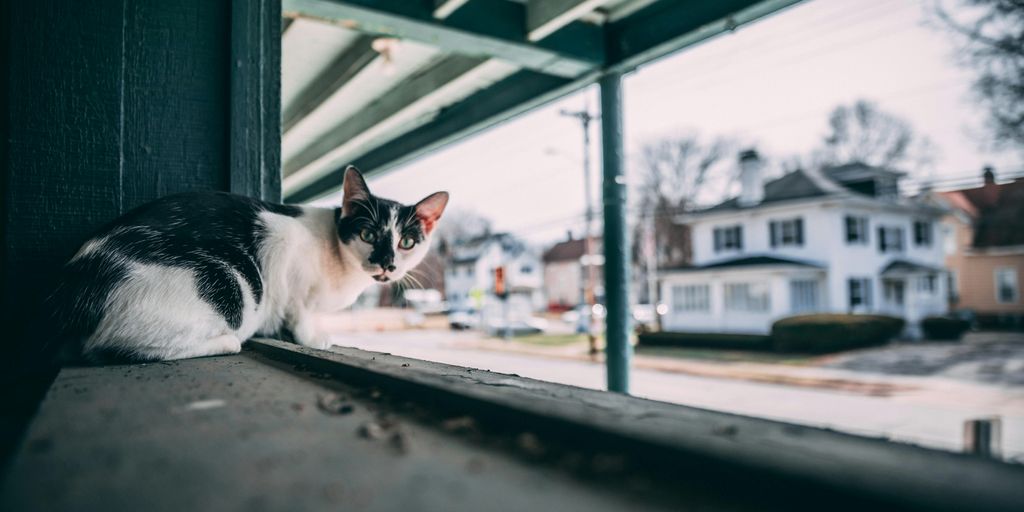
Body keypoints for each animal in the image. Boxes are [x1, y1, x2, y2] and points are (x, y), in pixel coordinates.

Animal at [48, 165, 446, 362]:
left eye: (407, 243)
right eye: (367, 234)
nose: (387, 264)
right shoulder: (284, 239)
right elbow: (299, 309)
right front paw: (311, 337)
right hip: (231, 282)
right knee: (108, 349)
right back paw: (228, 342)